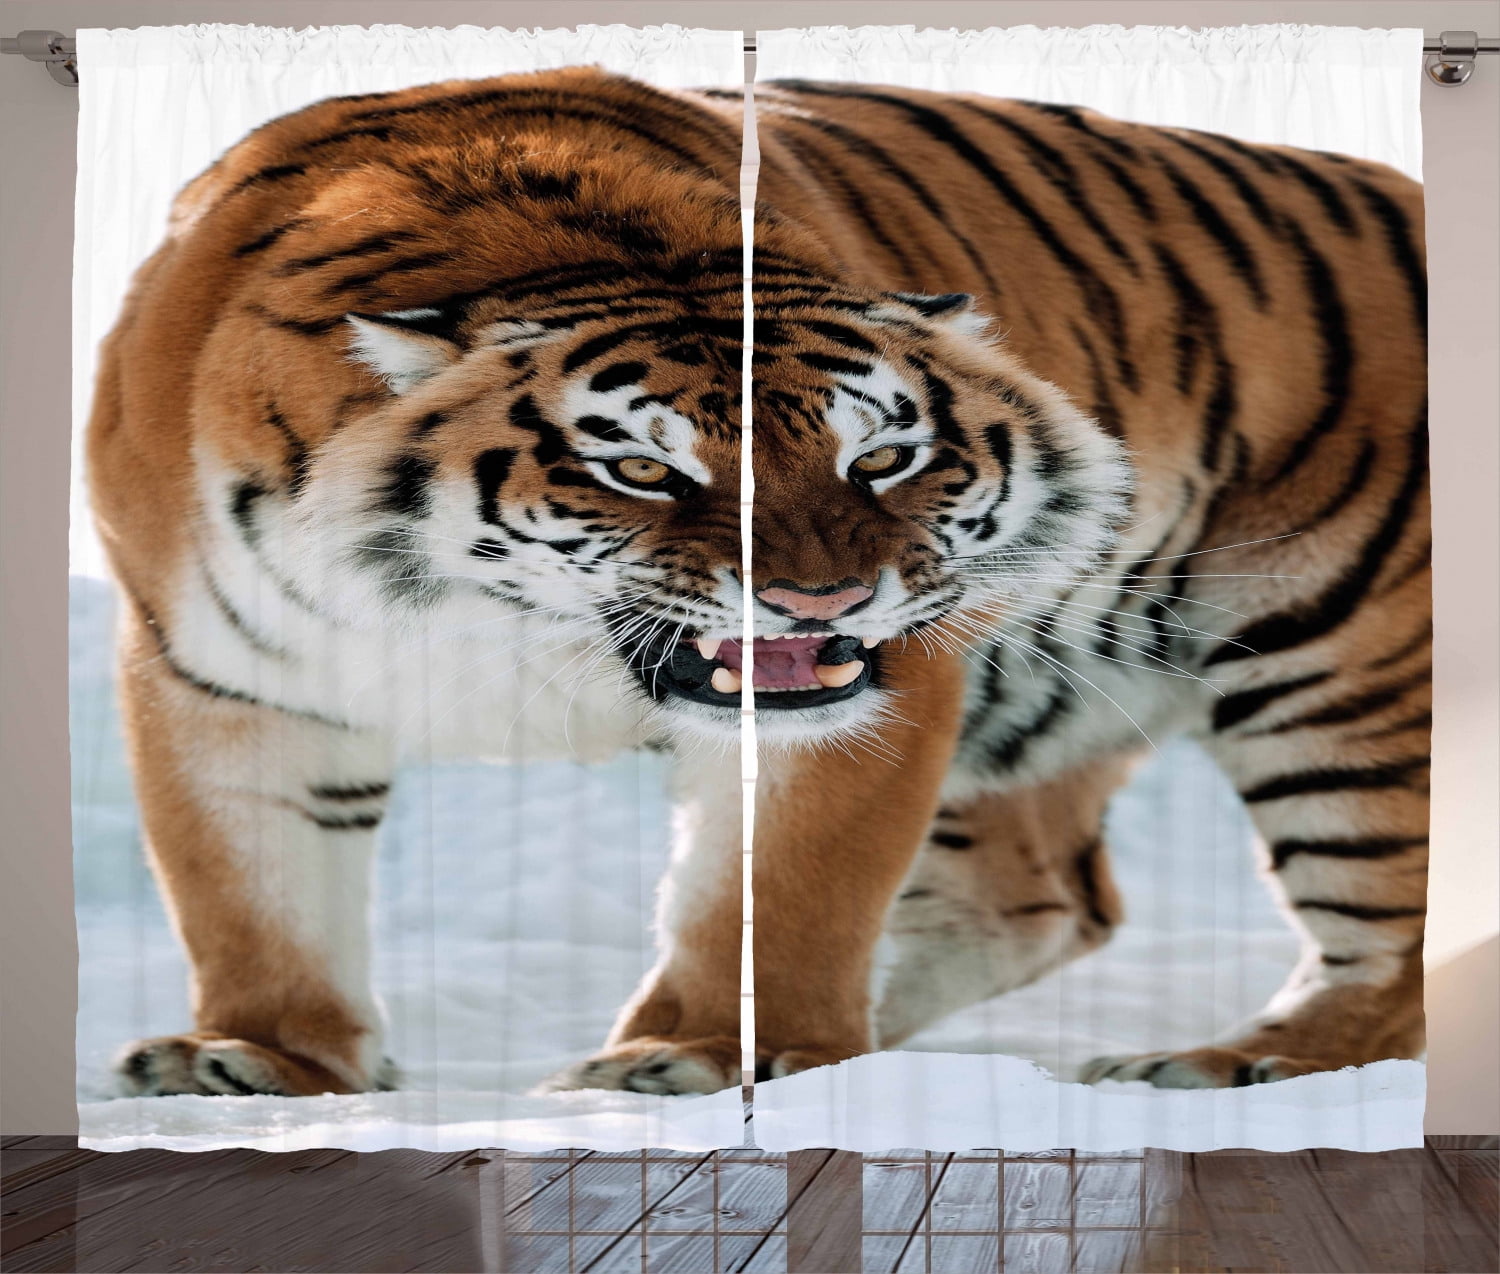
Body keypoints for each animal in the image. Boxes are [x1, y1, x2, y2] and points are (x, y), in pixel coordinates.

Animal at [88, 66, 1427, 1102]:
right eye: (641, 469)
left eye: (880, 457)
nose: (822, 603)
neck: (485, 624)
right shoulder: (217, 671)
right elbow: (251, 882)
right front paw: (258, 1056)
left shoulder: (880, 691)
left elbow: (780, 890)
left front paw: (706, 1055)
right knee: (1041, 893)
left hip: (1344, 665)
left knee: (1389, 950)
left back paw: (1221, 1065)